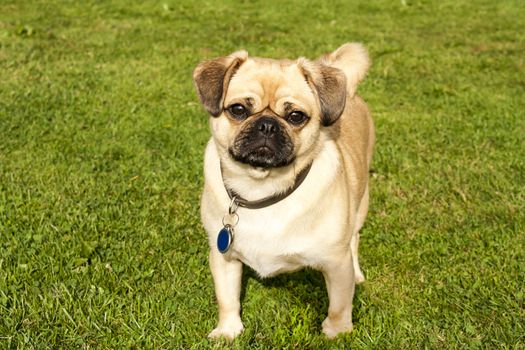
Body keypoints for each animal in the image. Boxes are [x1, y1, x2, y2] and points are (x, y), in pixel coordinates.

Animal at [194, 42, 374, 340]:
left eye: (295, 116)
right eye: (238, 110)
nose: (267, 124)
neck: (262, 189)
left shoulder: (336, 263)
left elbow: (339, 305)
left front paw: (337, 334)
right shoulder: (223, 257)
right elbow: (227, 298)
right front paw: (228, 330)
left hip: (360, 206)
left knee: (355, 241)